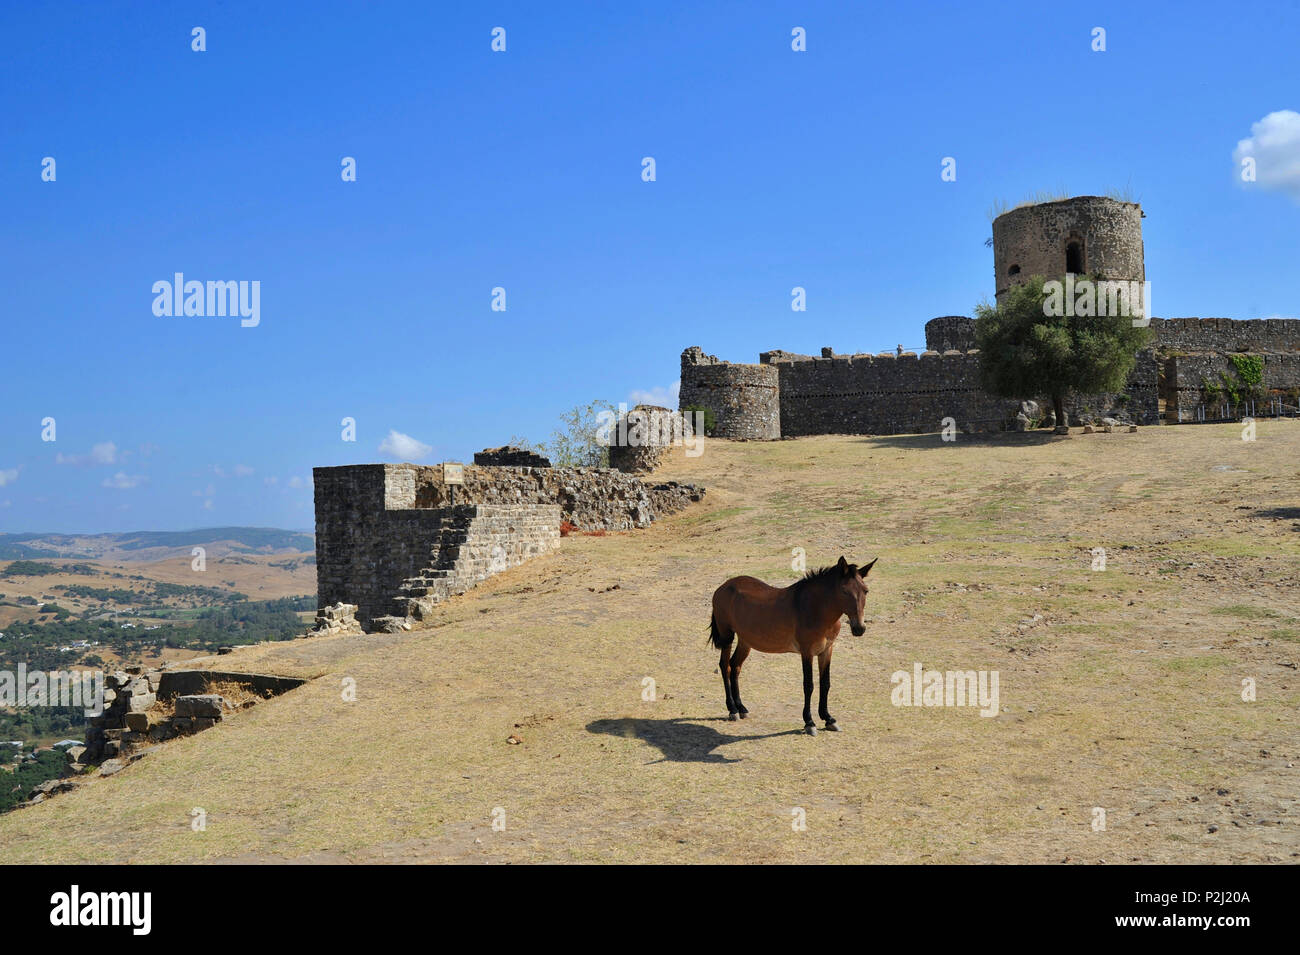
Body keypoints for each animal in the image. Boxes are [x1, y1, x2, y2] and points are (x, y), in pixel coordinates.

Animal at [707, 556, 878, 738]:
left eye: (866, 591)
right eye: (844, 591)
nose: (859, 628)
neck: (815, 608)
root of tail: (723, 587)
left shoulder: (826, 650)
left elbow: (825, 683)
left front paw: (828, 719)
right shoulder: (807, 652)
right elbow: (808, 685)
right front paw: (809, 722)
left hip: (745, 641)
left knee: (735, 666)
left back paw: (741, 708)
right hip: (727, 636)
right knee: (725, 666)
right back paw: (732, 709)